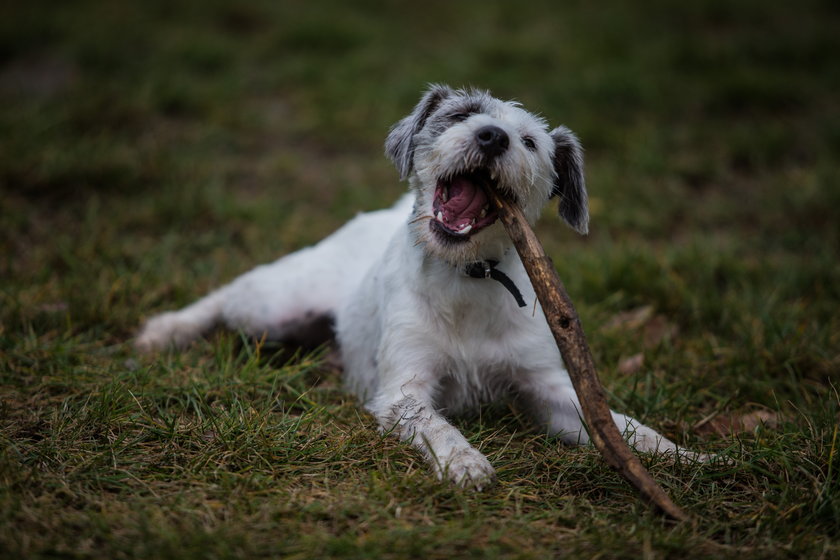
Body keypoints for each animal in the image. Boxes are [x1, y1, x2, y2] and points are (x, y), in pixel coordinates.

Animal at [138, 85, 704, 488]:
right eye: (461, 115)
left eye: (529, 142)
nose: (492, 136)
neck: (466, 276)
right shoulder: (403, 391)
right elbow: (437, 425)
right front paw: (466, 463)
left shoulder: (548, 389)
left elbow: (625, 426)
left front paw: (693, 458)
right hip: (273, 306)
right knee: (228, 296)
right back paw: (164, 331)